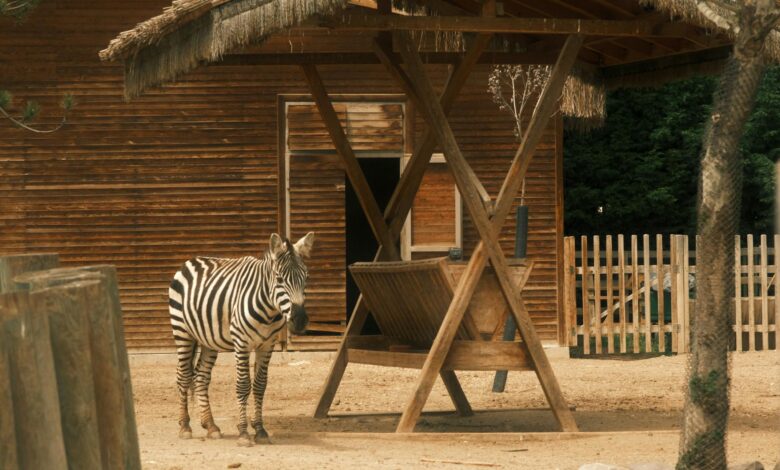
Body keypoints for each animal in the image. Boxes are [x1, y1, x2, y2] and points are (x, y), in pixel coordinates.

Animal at [168, 232, 314, 446]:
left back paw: (210, 426)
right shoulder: (241, 342)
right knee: (184, 375)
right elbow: (243, 385)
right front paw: (244, 433)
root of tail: (191, 260)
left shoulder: (267, 345)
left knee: (201, 377)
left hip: (208, 339)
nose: (300, 321)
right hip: (182, 331)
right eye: (279, 279)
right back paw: (185, 426)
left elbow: (260, 385)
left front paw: (260, 430)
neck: (269, 310)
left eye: (306, 278)